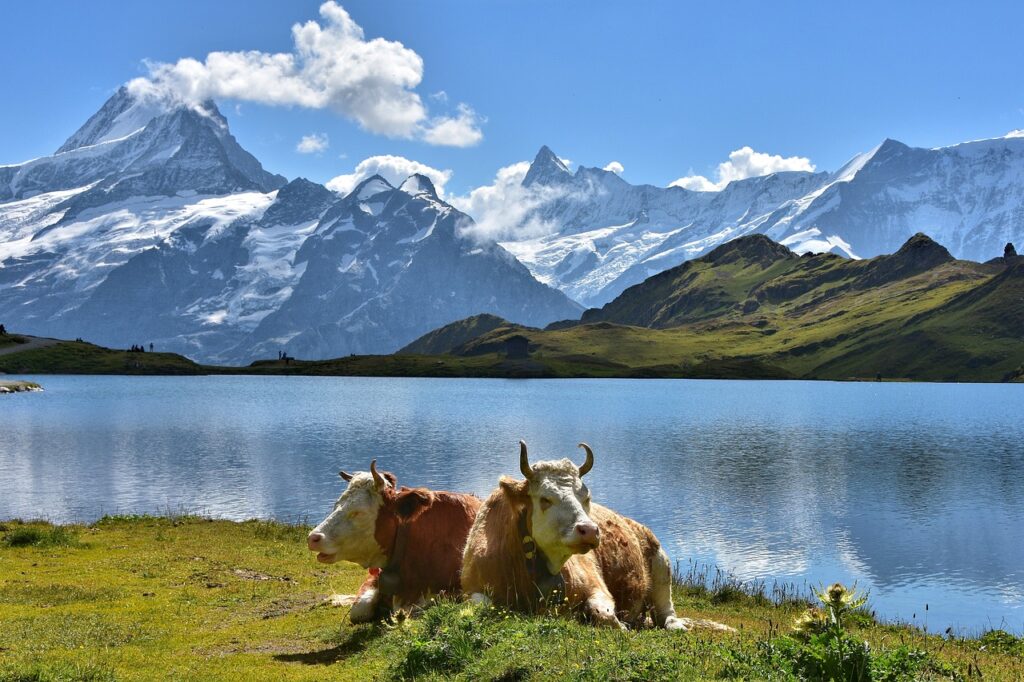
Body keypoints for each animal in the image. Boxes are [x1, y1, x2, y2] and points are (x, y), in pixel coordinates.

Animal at [464, 438, 720, 630]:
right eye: (545, 499)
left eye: (585, 496)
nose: (590, 530)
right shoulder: (471, 589)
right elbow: (478, 606)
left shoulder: (598, 589)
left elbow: (603, 614)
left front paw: (621, 625)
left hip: (662, 566)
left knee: (666, 611)